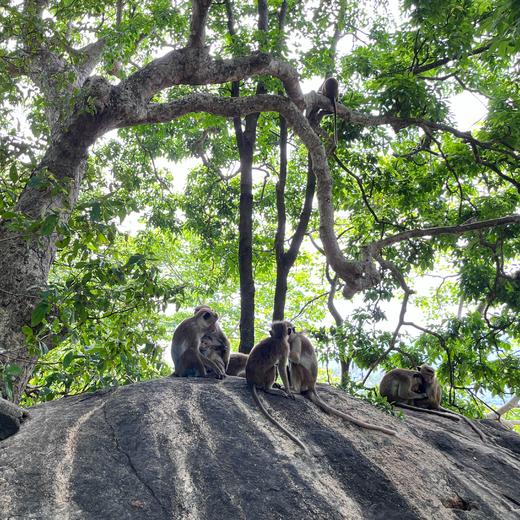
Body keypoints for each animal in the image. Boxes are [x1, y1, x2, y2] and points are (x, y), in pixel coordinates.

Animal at [245, 322, 308, 452]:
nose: (294, 330)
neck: (278, 338)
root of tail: (250, 381)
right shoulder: (285, 348)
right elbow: (281, 367)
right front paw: (288, 391)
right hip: (262, 378)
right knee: (273, 368)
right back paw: (269, 389)